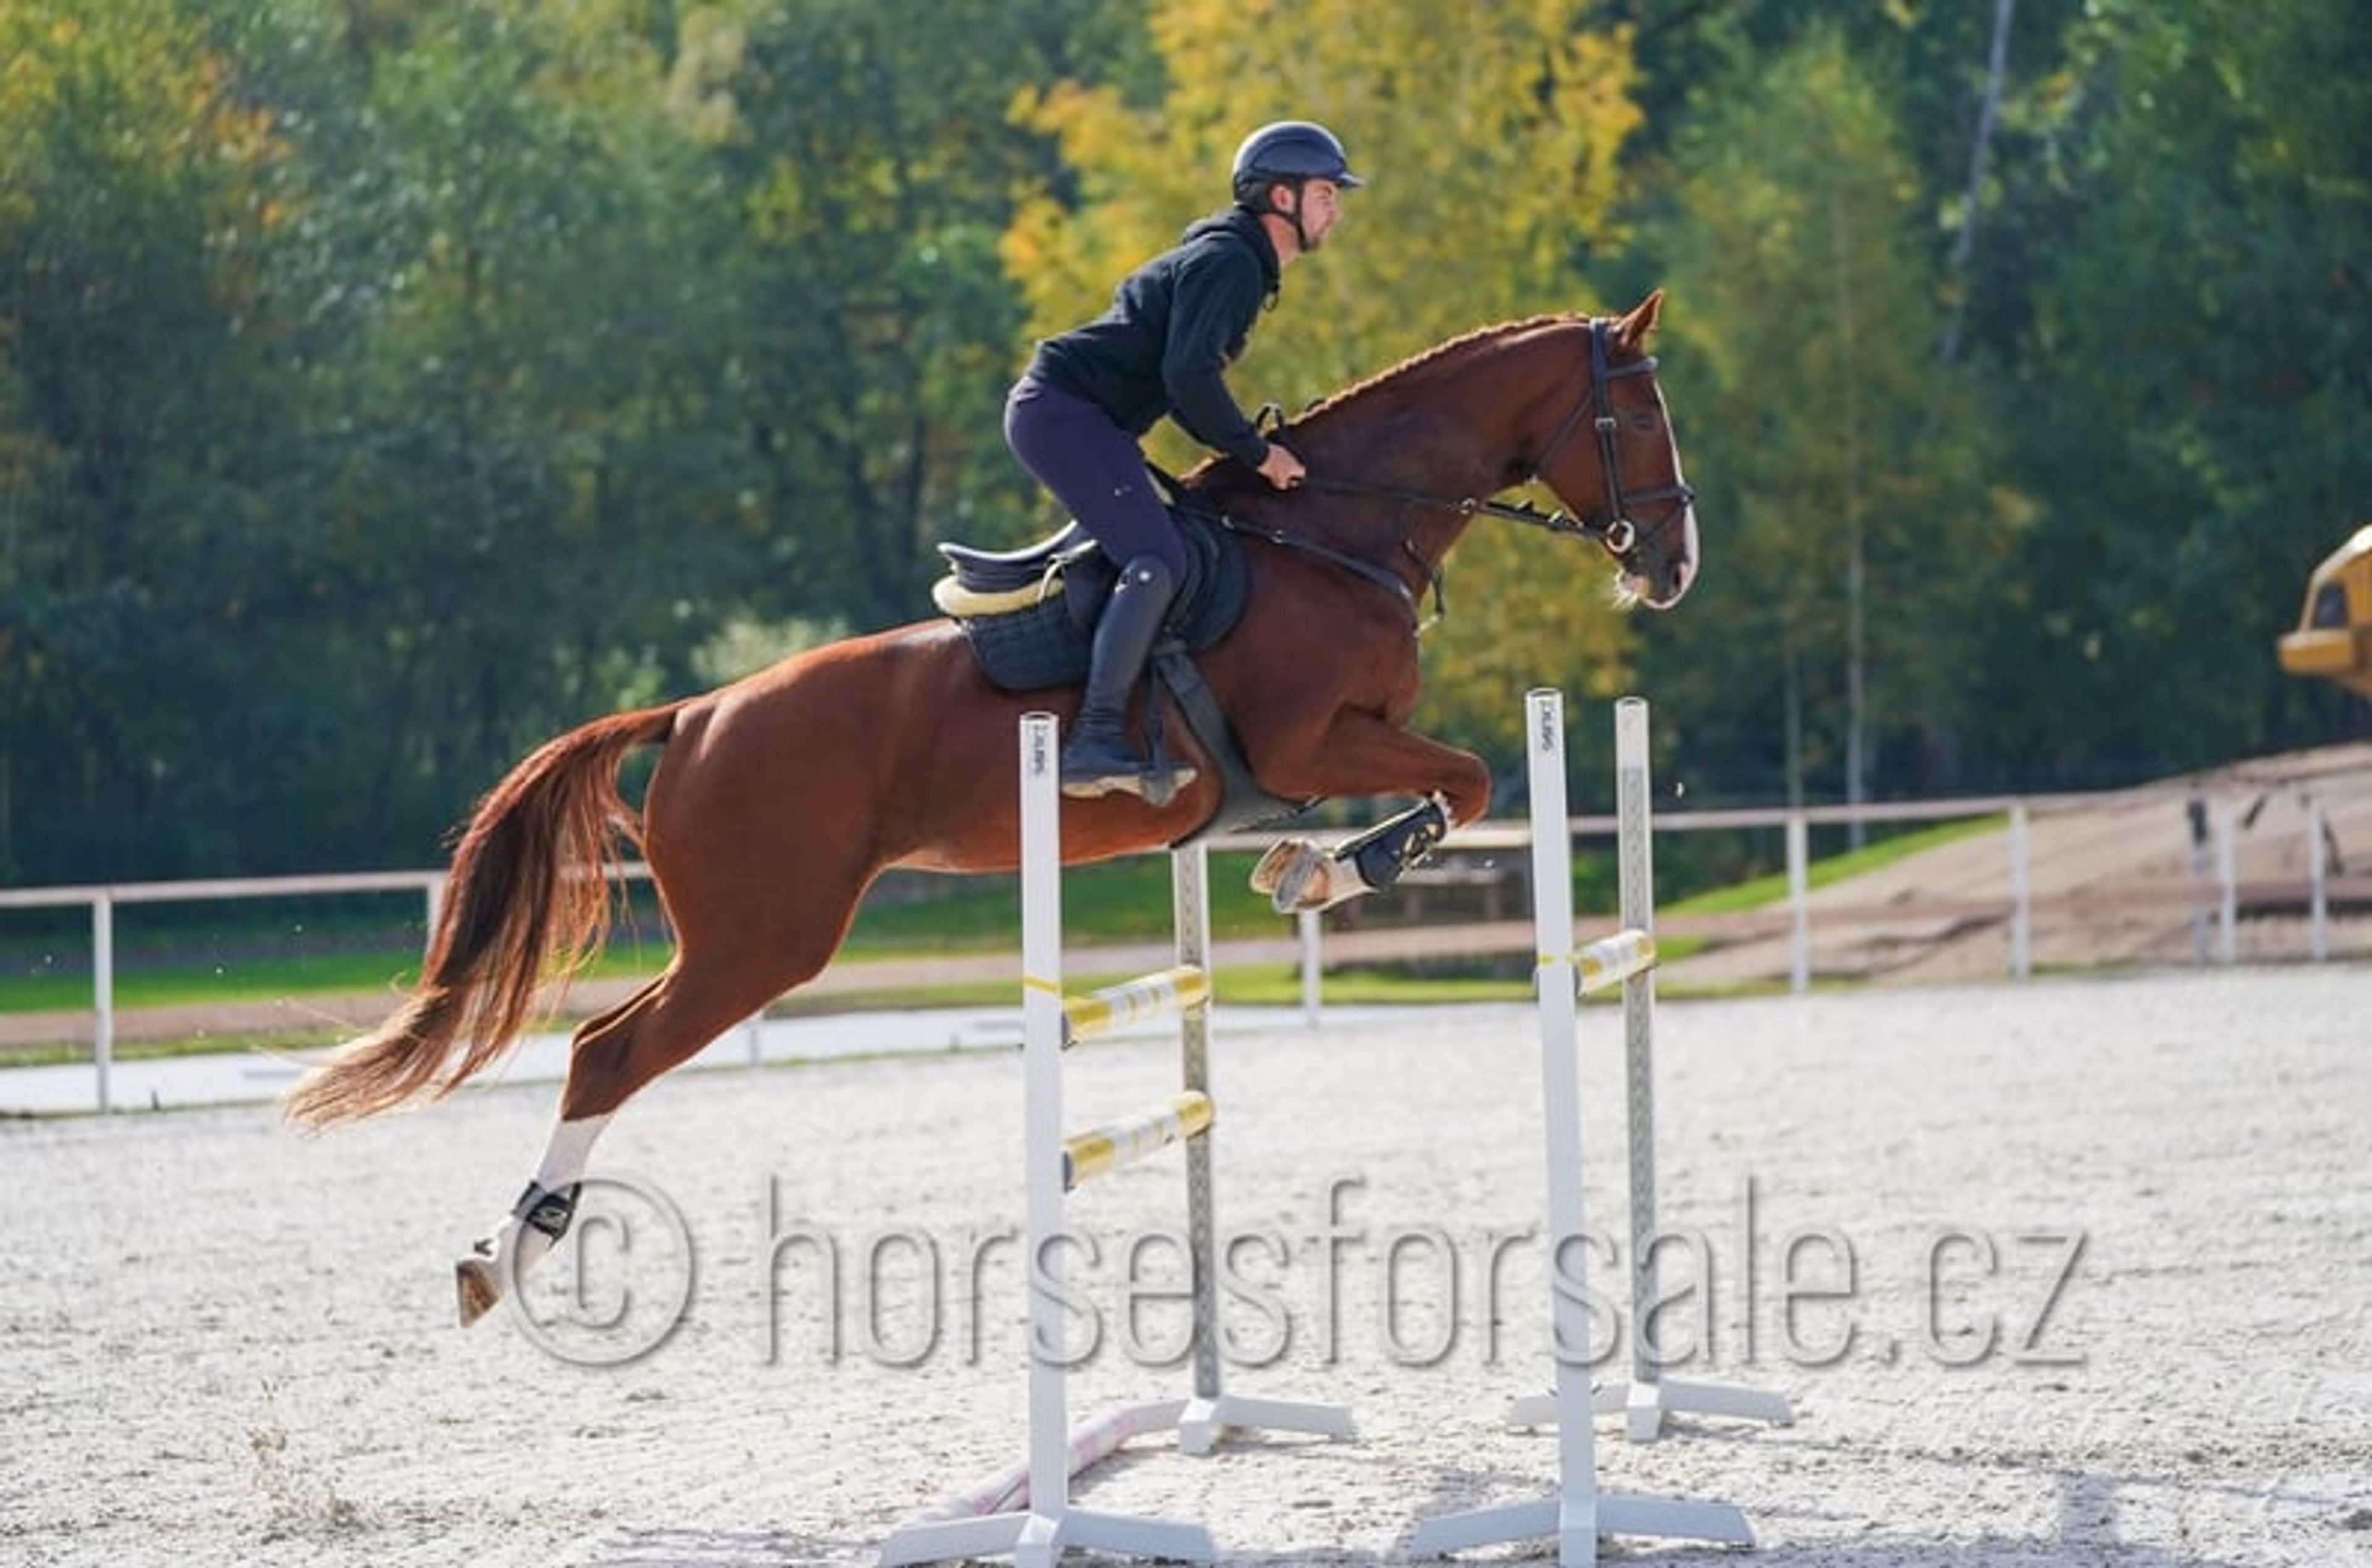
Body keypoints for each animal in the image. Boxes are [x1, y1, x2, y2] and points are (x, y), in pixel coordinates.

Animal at [283, 290, 1698, 1327]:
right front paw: (1319, 870)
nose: (1675, 566)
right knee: (604, 1053)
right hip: (763, 939)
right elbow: (1468, 781)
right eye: (1638, 413)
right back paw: (505, 1259)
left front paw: (1308, 865)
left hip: (748, 936)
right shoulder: (1313, 737)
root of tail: (696, 713)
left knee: (605, 1043)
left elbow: (1455, 785)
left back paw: (501, 1252)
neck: (1337, 533)